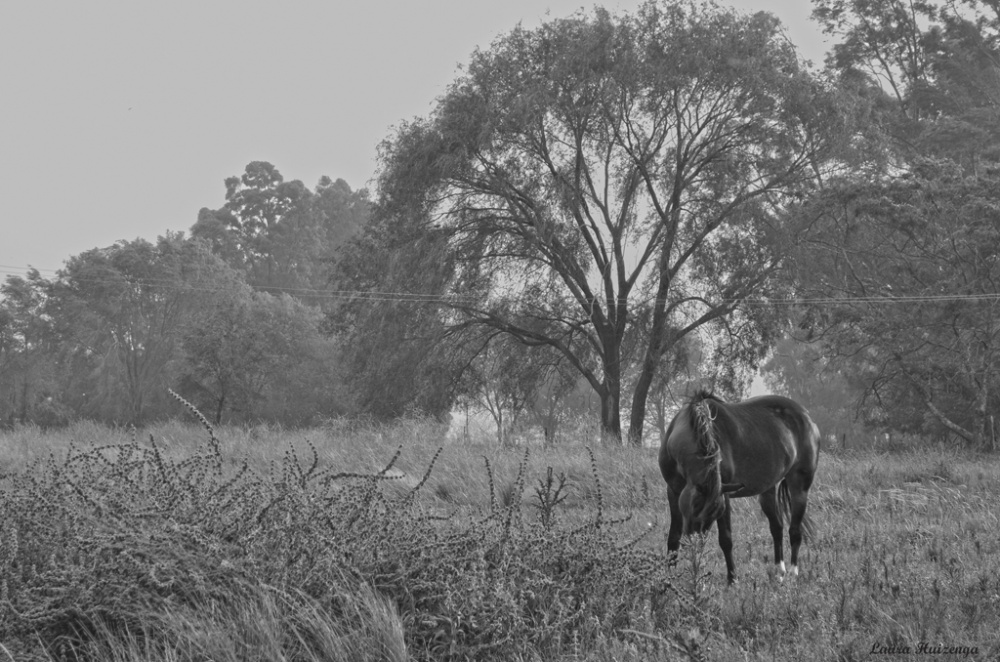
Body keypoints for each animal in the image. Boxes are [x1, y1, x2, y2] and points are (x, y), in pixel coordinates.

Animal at [656, 392, 820, 584]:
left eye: (712, 516)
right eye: (695, 512)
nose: (695, 547)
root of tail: (807, 417)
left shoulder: (724, 495)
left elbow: (726, 539)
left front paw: (732, 579)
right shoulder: (673, 492)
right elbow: (673, 538)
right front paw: (668, 579)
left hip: (799, 487)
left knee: (795, 530)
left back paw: (793, 573)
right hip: (768, 491)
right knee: (777, 528)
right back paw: (779, 572)